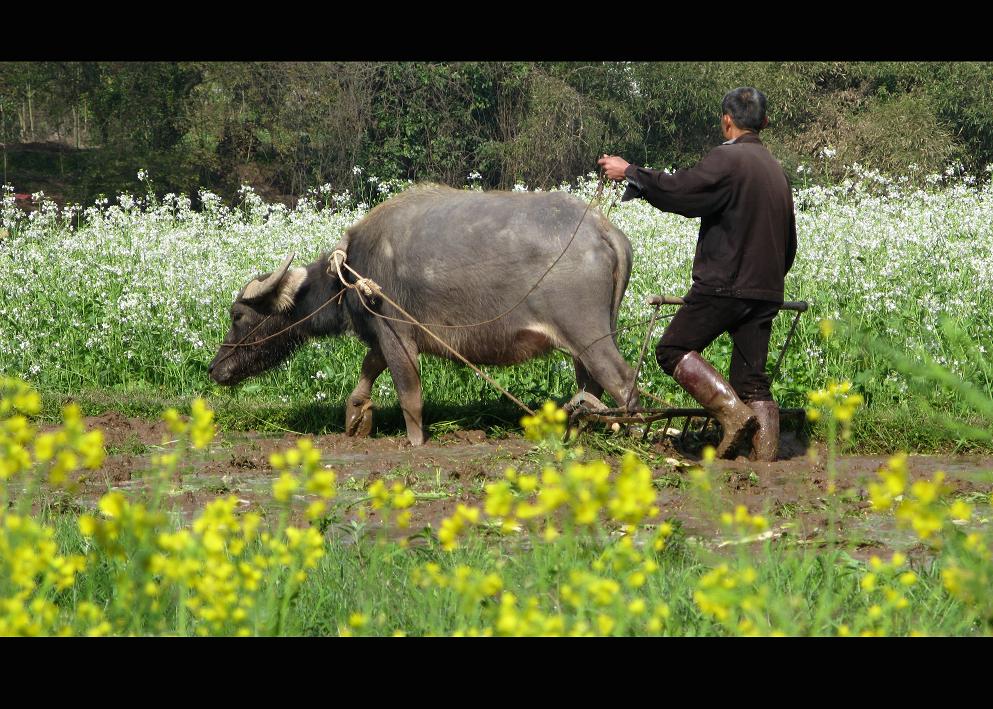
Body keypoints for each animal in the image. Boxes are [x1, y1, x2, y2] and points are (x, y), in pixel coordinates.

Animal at [208, 185, 636, 446]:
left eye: (237, 315)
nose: (214, 369)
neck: (351, 274)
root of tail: (602, 228)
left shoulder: (398, 334)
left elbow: (408, 392)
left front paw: (414, 441)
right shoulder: (381, 334)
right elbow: (368, 369)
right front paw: (356, 416)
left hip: (588, 334)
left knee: (622, 380)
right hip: (588, 340)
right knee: (590, 386)